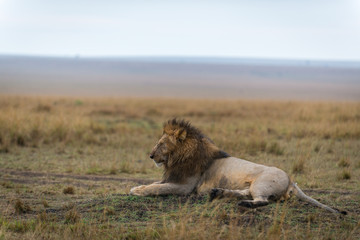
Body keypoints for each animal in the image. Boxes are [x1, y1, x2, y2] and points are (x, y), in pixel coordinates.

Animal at [130, 118, 346, 214]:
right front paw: (137, 187)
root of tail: (292, 180)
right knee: (246, 193)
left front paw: (137, 191)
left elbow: (158, 188)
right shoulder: (174, 177)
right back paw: (219, 193)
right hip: (251, 185)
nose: (150, 155)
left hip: (262, 183)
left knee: (262, 201)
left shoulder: (185, 186)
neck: (178, 158)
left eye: (161, 144)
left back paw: (243, 204)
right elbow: (156, 183)